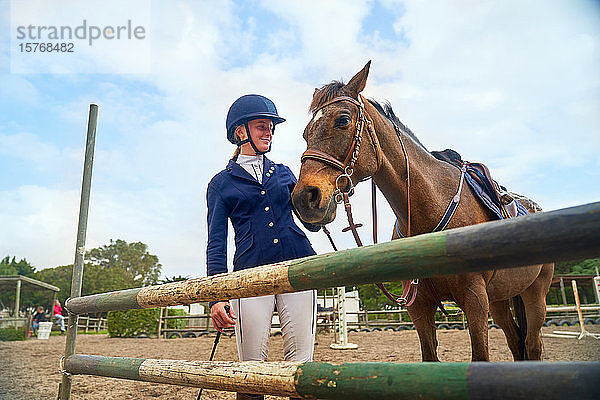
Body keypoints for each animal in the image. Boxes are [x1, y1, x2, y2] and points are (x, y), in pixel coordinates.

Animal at [290, 61, 552, 362]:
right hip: (499, 300)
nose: (303, 199)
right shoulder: (420, 307)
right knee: (516, 344)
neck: (430, 209)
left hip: (535, 296)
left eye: (342, 120)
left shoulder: (475, 300)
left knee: (532, 346)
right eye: (306, 133)